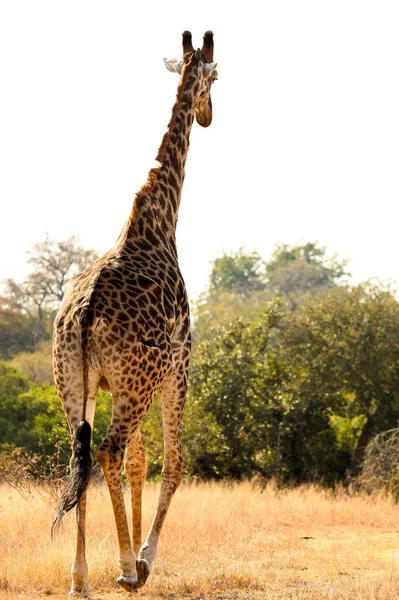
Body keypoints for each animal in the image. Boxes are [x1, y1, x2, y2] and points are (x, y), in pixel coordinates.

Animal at [51, 31, 217, 596]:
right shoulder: (178, 367)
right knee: (109, 451)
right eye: (217, 76)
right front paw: (145, 557)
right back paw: (124, 567)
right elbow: (174, 462)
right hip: (138, 380)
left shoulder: (121, 382)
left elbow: (143, 462)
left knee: (80, 455)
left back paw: (79, 576)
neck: (159, 222)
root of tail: (83, 315)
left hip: (77, 382)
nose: (208, 117)